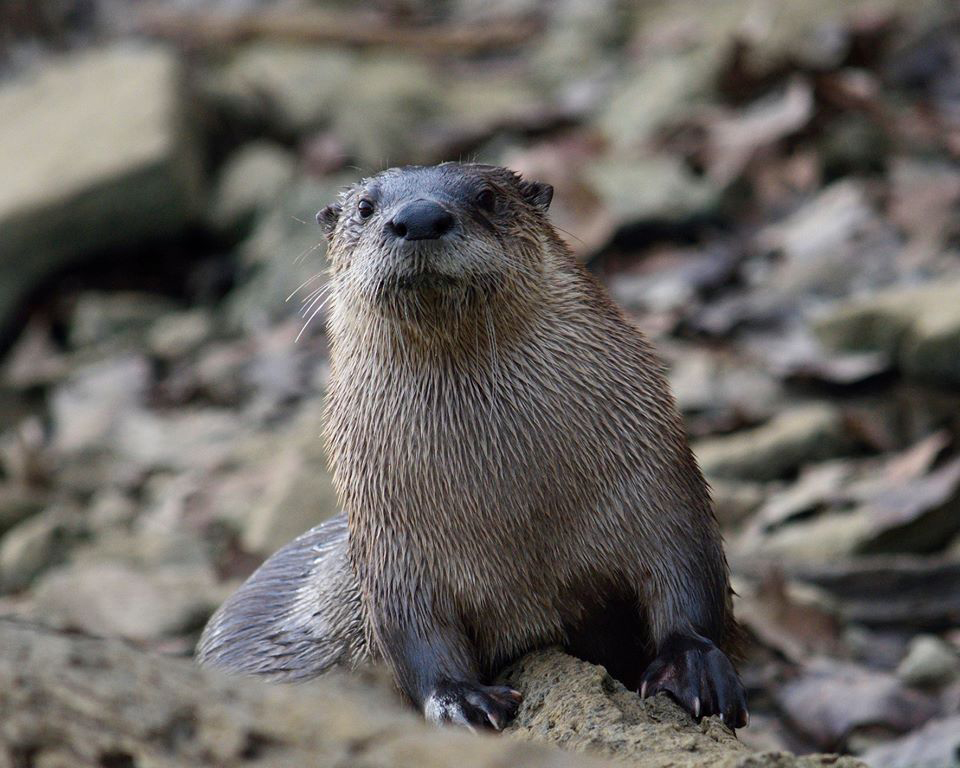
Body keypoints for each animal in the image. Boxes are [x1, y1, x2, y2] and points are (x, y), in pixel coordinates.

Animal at [197, 164, 752, 732]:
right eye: (365, 208)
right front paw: (460, 700)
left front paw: (691, 663)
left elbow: (690, 577)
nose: (419, 217)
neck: (515, 519)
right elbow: (416, 639)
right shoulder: (393, 553)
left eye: (487, 197)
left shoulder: (659, 485)